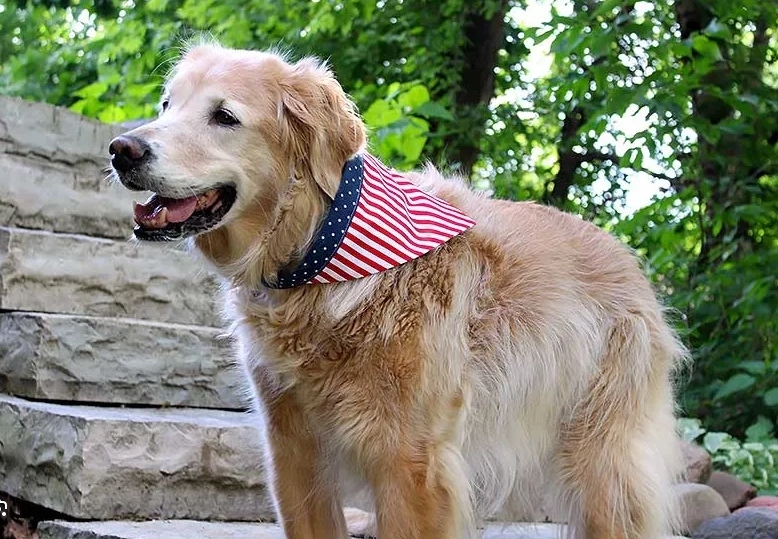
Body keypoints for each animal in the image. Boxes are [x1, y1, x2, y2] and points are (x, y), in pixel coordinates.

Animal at [107, 43, 684, 539]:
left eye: (224, 116)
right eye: (167, 104)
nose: (121, 150)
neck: (320, 252)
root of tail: (627, 257)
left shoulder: (410, 462)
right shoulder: (292, 448)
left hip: (602, 467)